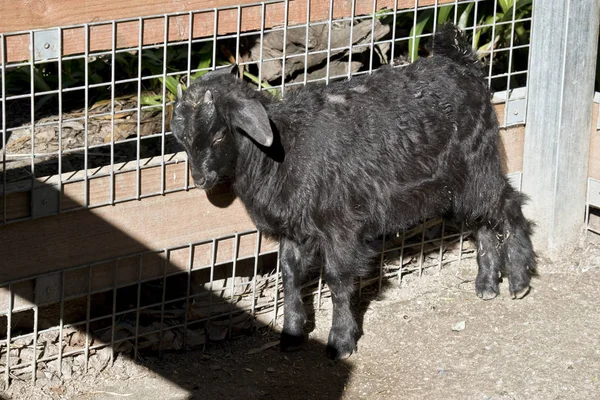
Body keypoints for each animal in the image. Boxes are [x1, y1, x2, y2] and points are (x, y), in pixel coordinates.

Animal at [171, 24, 536, 360]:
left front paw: (341, 341)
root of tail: (462, 64)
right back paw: (486, 284)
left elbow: (338, 281)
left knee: (508, 206)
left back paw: (518, 281)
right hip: (458, 185)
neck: (284, 150)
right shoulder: (294, 230)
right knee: (482, 221)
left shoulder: (341, 225)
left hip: (478, 166)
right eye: (184, 138)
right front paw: (291, 333)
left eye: (220, 135)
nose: (200, 179)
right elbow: (290, 276)